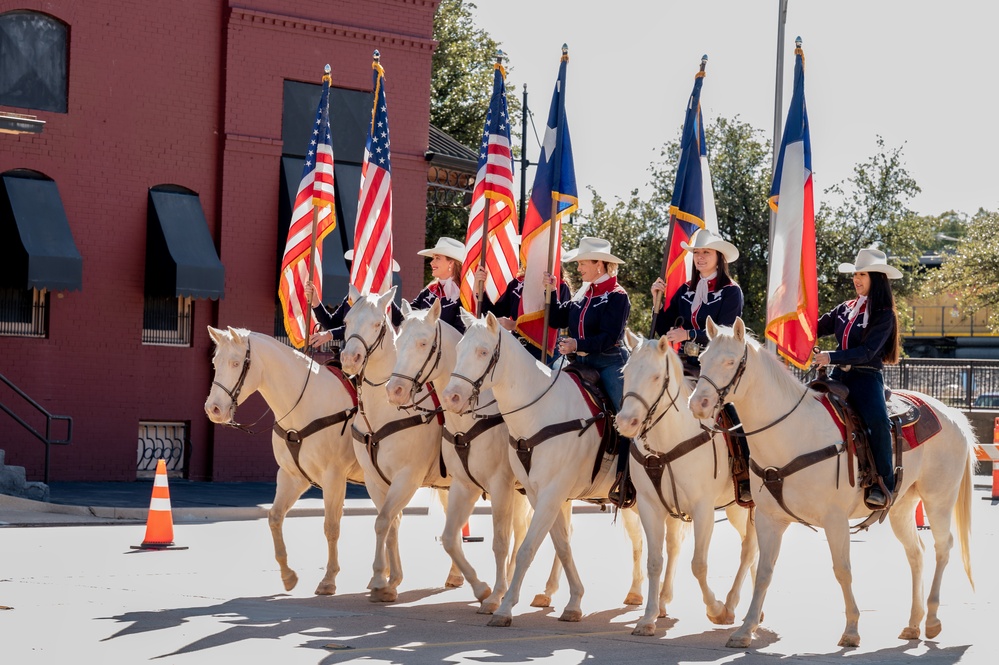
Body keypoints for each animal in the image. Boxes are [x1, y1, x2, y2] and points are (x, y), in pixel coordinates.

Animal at [204, 326, 364, 592]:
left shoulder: (334, 477)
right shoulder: (292, 476)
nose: (213, 409)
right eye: (215, 362)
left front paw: (329, 579)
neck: (303, 404)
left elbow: (331, 526)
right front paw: (288, 575)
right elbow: (274, 517)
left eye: (236, 363)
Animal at [340, 288, 458, 600]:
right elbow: (390, 522)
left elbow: (383, 521)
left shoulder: (408, 477)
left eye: (376, 324)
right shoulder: (374, 479)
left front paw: (379, 579)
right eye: (346, 320)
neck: (384, 410)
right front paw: (391, 579)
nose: (350, 358)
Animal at [442, 314, 644, 624]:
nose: (451, 397)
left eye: (483, 352)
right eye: (459, 348)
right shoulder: (539, 494)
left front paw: (503, 606)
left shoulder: (546, 491)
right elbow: (561, 544)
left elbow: (526, 548)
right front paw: (574, 602)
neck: (540, 413)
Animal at [616, 330, 756, 636]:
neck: (666, 443)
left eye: (656, 376)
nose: (626, 422)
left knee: (749, 548)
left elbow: (699, 564)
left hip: (744, 507)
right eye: (625, 372)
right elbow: (655, 561)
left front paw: (716, 609)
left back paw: (733, 604)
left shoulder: (703, 509)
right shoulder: (651, 507)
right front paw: (648, 617)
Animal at [688, 320, 976, 644]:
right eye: (702, 359)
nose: (698, 404)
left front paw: (851, 629)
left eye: (730, 361)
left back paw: (933, 619)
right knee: (916, 554)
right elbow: (764, 572)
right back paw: (914, 623)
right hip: (903, 507)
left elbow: (842, 570)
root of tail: (951, 414)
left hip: (938, 499)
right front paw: (745, 629)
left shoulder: (835, 519)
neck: (793, 432)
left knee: (943, 547)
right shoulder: (768, 519)